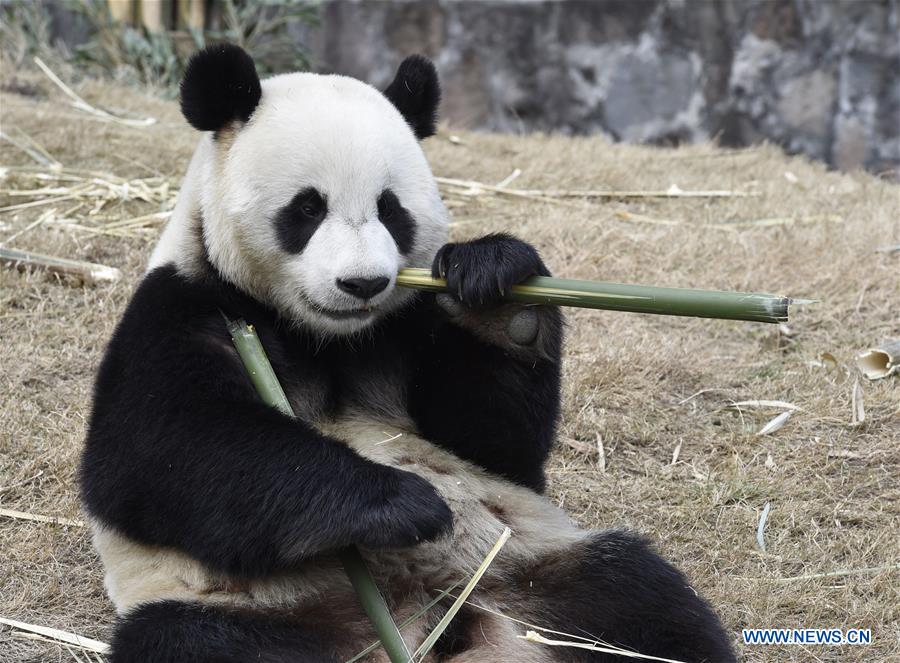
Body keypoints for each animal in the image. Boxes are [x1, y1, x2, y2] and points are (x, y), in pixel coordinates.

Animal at [81, 46, 736, 663]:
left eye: (391, 209)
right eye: (307, 208)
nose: (363, 283)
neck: (326, 336)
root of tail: (430, 622)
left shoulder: (406, 326)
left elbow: (497, 445)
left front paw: (496, 287)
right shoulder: (186, 305)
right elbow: (160, 449)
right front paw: (402, 502)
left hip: (528, 566)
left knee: (637, 601)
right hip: (253, 610)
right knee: (193, 641)